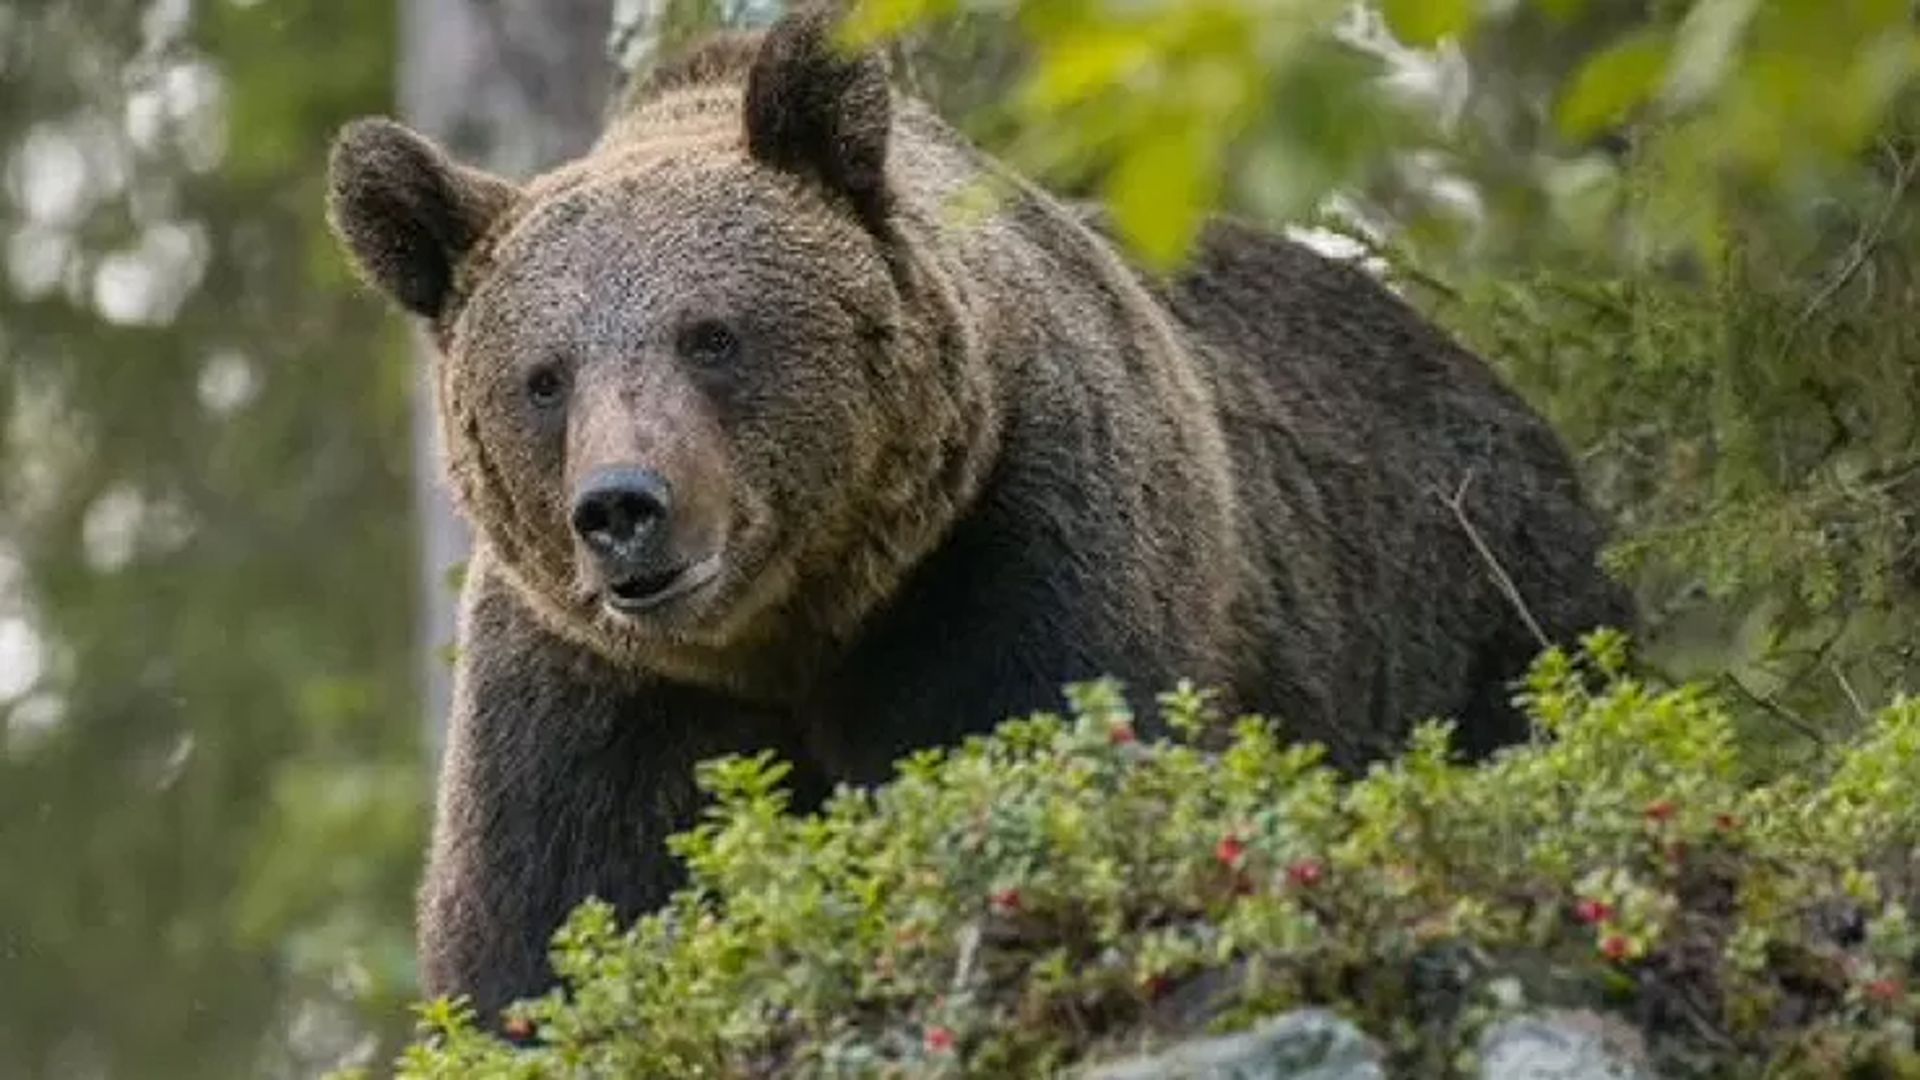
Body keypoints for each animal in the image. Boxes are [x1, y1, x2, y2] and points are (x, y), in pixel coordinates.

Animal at [324, 9, 1633, 1025]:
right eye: (543, 377)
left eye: (712, 335)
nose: (623, 510)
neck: (796, 626)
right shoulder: (594, 687)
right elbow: (547, 932)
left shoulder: (1017, 548)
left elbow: (1030, 767)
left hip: (1485, 608)